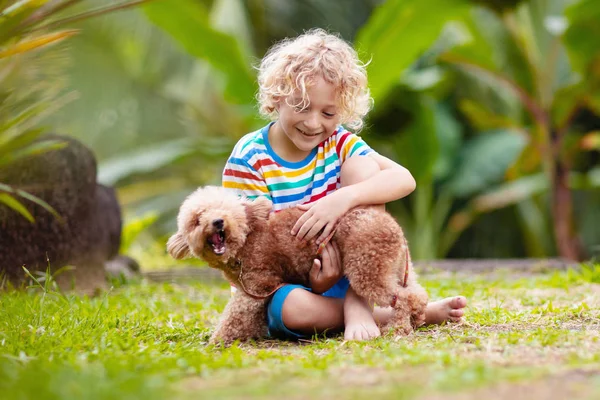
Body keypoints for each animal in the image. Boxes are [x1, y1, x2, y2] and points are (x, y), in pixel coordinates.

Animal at [168, 186, 426, 342]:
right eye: (197, 219)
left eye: (227, 212)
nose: (218, 222)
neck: (245, 241)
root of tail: (394, 226)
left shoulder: (255, 288)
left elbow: (233, 316)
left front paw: (217, 340)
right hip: (395, 267)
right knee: (417, 294)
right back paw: (416, 318)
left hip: (367, 268)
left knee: (403, 297)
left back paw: (397, 328)